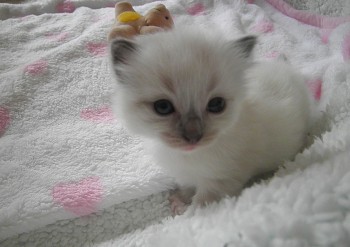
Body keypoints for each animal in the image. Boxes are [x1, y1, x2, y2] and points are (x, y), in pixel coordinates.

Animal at [108, 27, 314, 214]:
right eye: (163, 107)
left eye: (216, 104)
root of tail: (284, 66)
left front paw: (184, 212)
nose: (193, 137)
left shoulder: (220, 182)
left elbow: (198, 208)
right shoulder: (185, 175)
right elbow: (187, 187)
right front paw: (179, 200)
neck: (188, 156)